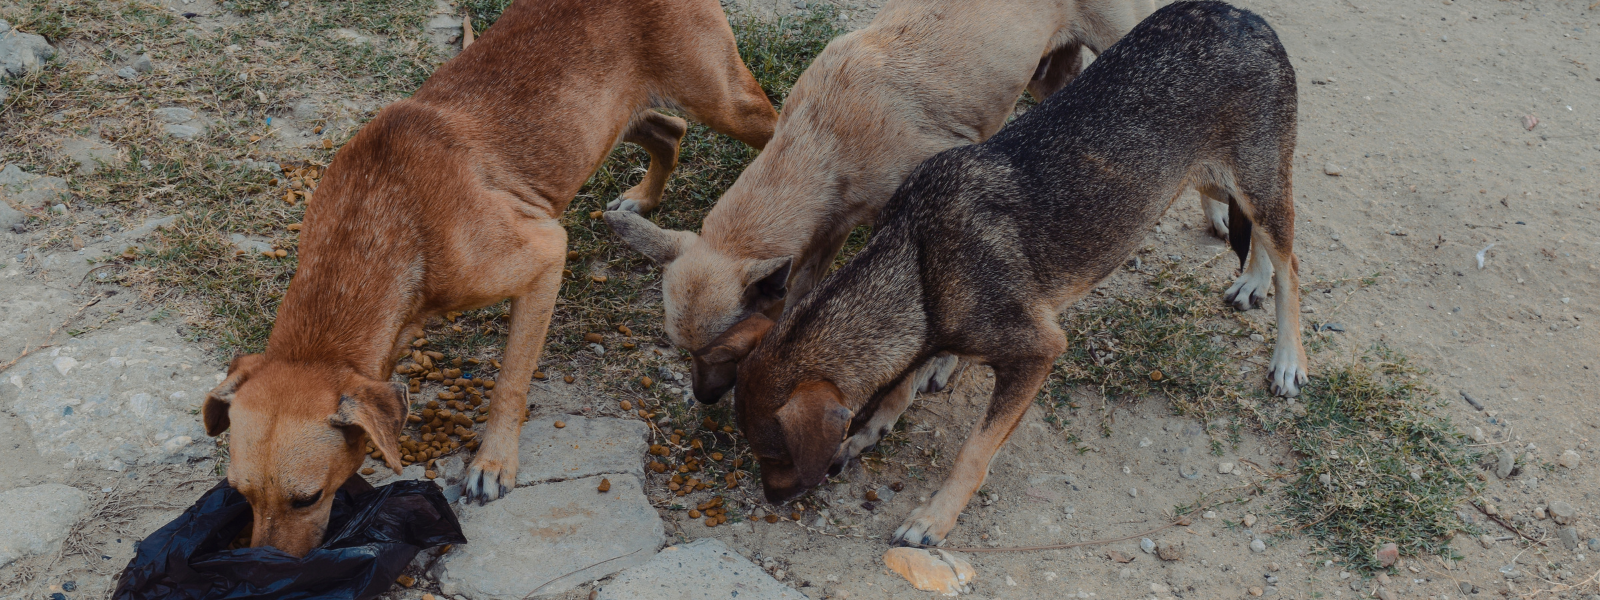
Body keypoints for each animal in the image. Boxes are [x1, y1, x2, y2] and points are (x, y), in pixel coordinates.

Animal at [200, 0, 774, 556]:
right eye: (241, 495)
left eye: (308, 498)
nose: (265, 569)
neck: (375, 217)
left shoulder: (545, 258)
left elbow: (510, 382)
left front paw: (493, 462)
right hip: (605, 117)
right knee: (668, 130)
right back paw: (644, 199)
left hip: (723, 101)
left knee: (770, 126)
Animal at [604, 0, 1158, 404]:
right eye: (681, 351)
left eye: (721, 354)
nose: (702, 400)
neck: (824, 137)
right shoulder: (829, 226)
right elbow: (801, 291)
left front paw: (938, 364)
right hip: (1051, 76)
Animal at [720, 2, 1305, 550]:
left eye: (773, 453)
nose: (771, 501)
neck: (918, 263)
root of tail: (1243, 14)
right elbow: (898, 386)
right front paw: (869, 429)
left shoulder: (1037, 352)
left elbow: (974, 450)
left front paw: (935, 516)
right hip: (1203, 175)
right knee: (1249, 232)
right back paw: (1252, 280)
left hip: (1259, 176)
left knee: (1291, 264)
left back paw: (1287, 358)